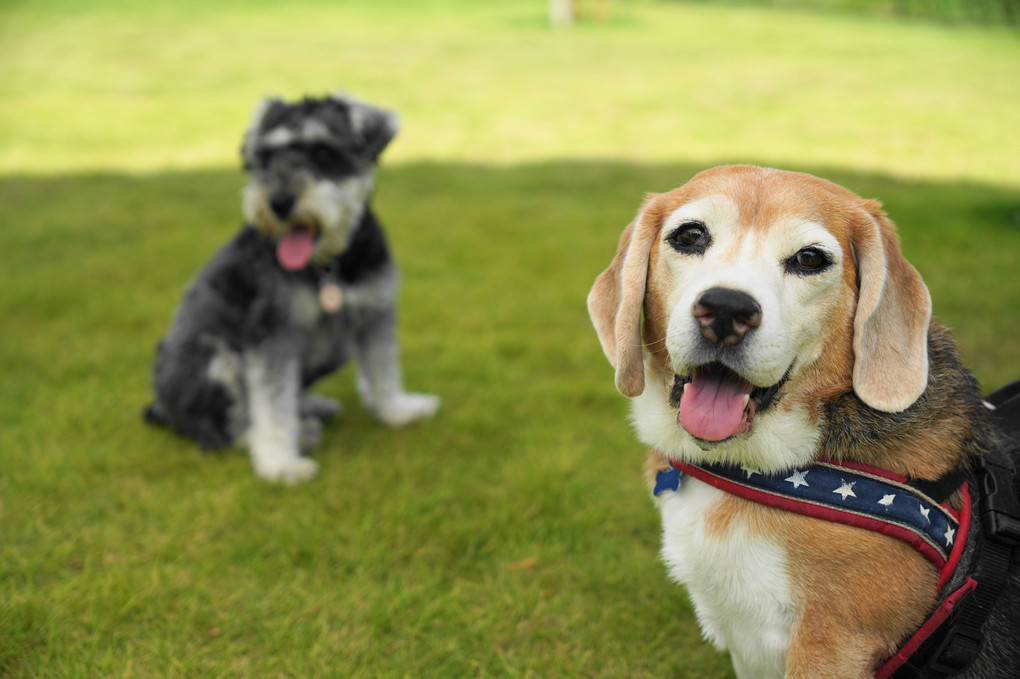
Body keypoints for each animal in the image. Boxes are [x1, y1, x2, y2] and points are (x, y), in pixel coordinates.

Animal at [145, 91, 440, 481]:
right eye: (267, 157)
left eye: (324, 152)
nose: (279, 203)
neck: (330, 266)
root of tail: (164, 407)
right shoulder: (274, 336)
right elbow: (272, 402)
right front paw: (281, 464)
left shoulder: (375, 313)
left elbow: (383, 368)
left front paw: (398, 411)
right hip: (217, 362)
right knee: (223, 427)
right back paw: (292, 433)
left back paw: (314, 408)